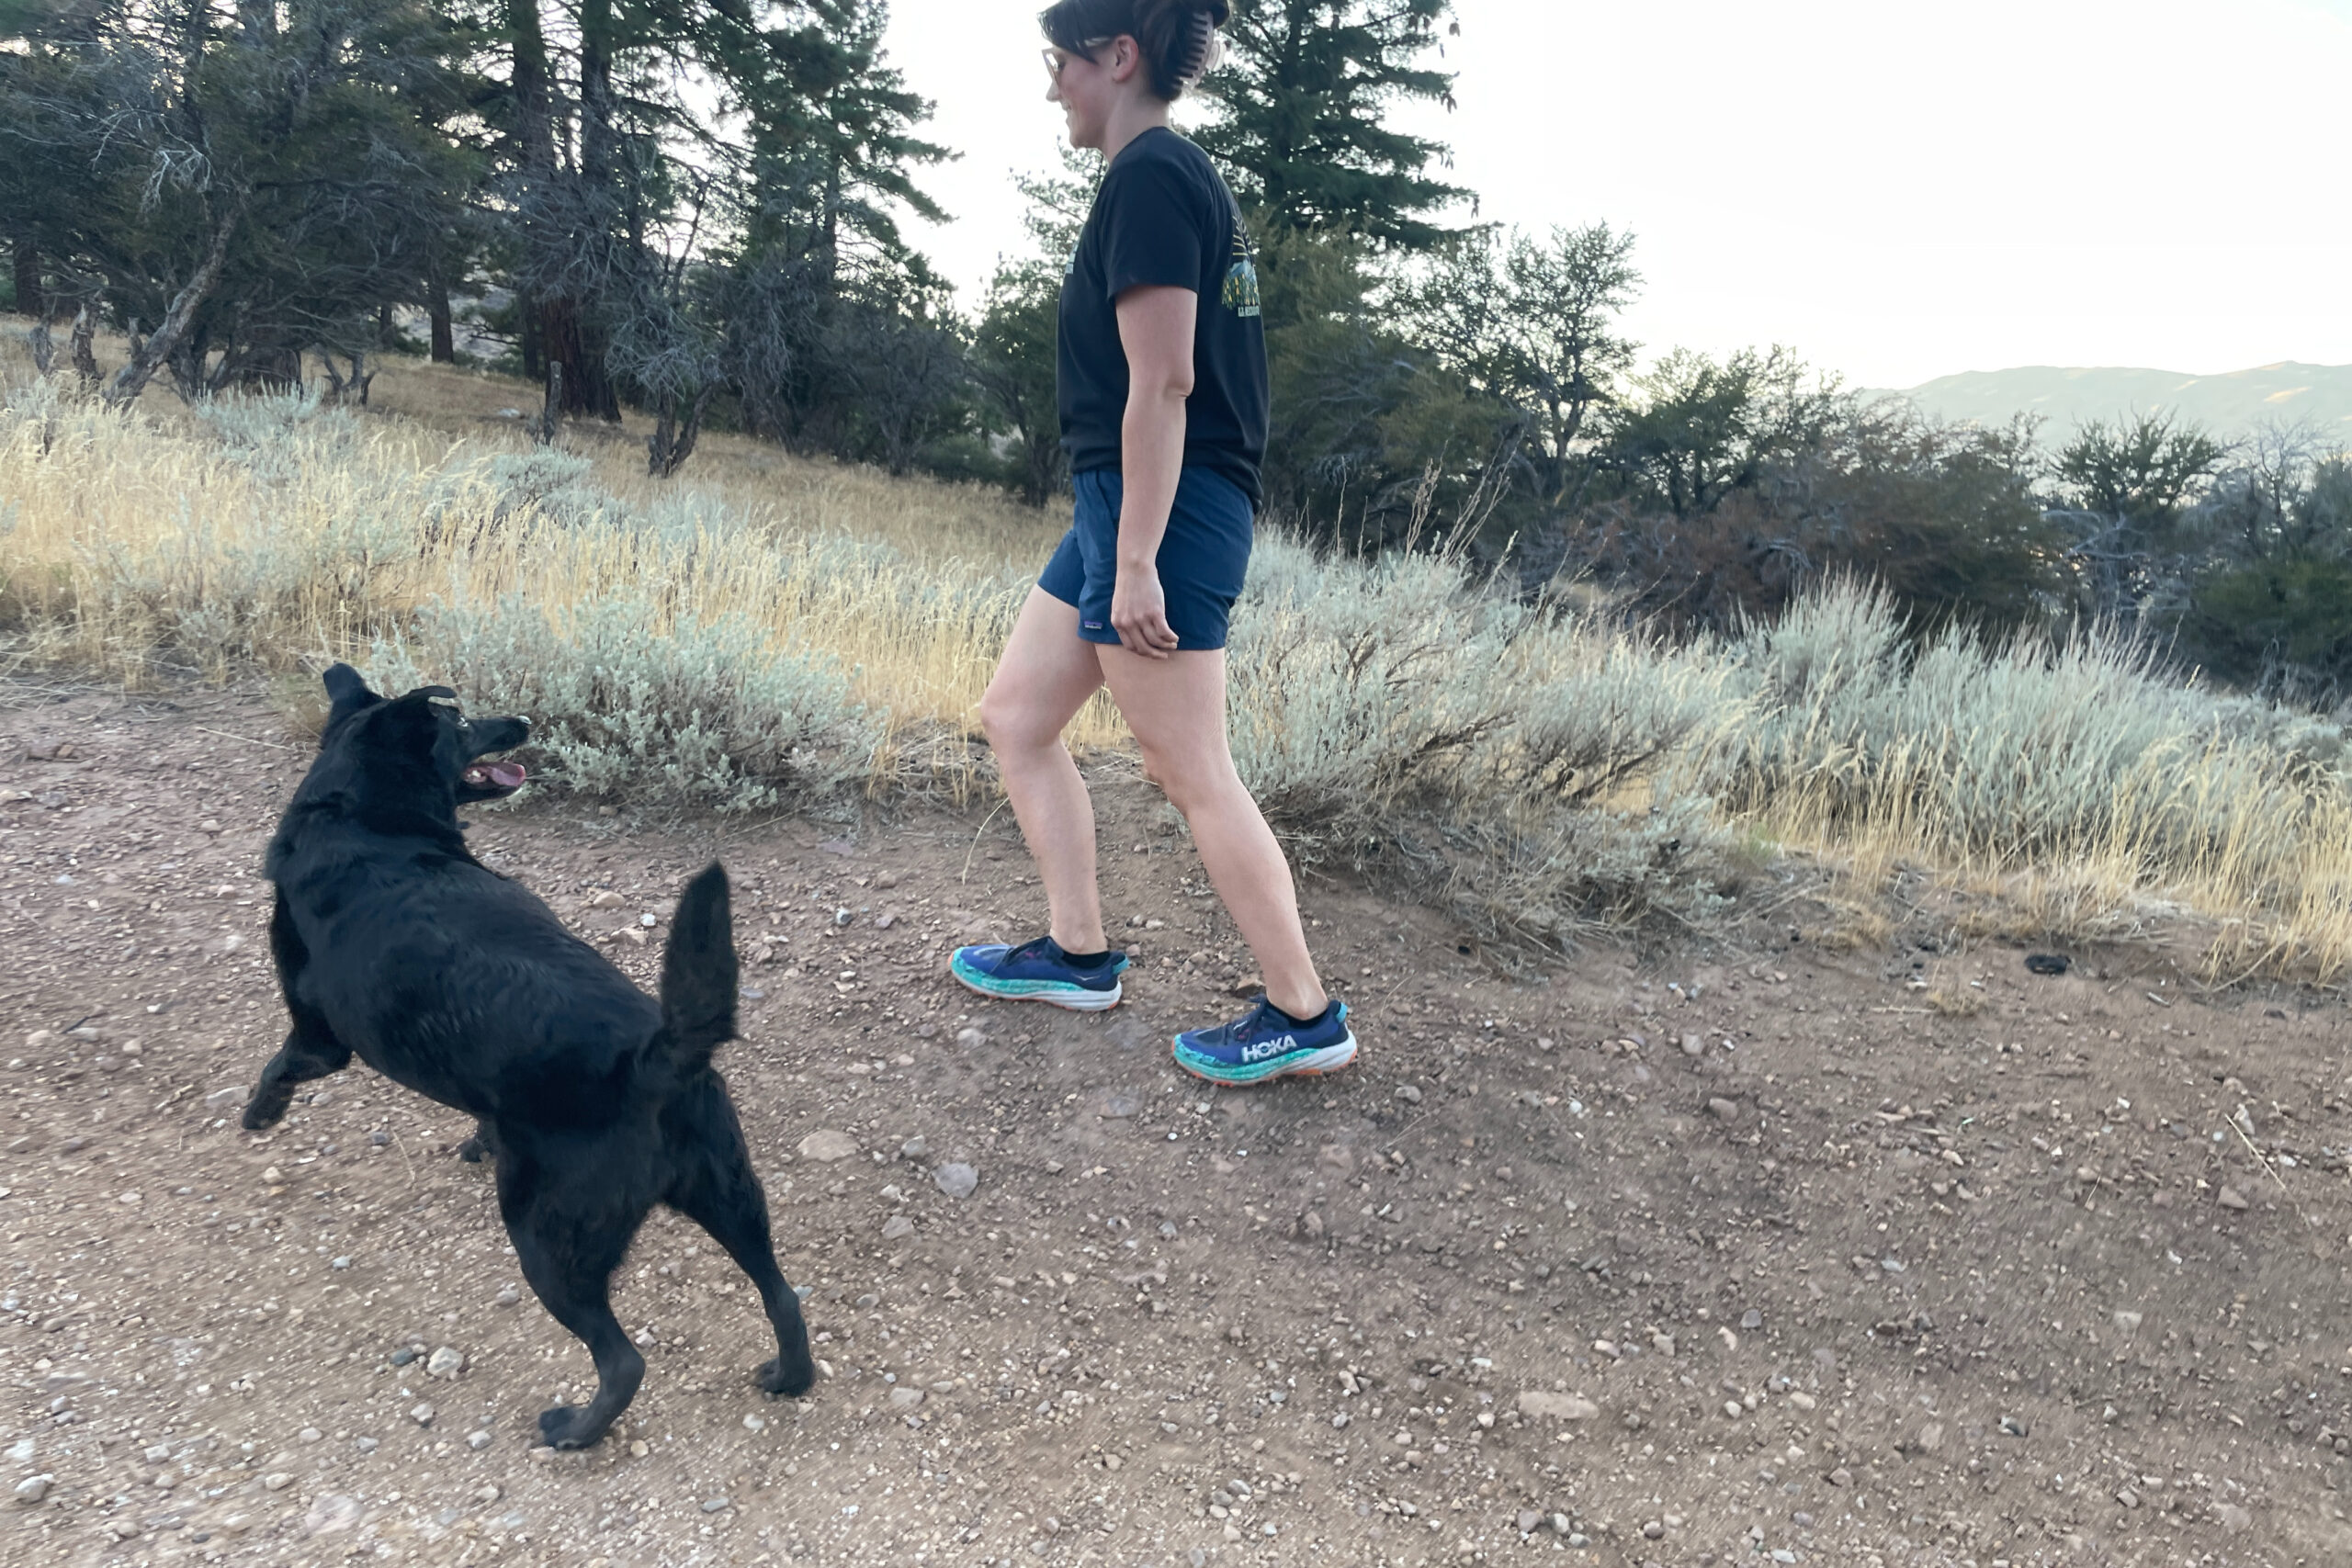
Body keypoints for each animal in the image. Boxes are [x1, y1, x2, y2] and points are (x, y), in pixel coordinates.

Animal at [242, 662, 818, 1448]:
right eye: (460, 724)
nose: (520, 722)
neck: (364, 821)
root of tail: (654, 1056)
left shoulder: (320, 1039)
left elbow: (279, 1064)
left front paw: (258, 1112)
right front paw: (478, 1138)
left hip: (546, 1236)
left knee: (623, 1360)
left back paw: (575, 1429)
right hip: (729, 1194)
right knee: (782, 1294)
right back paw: (790, 1377)